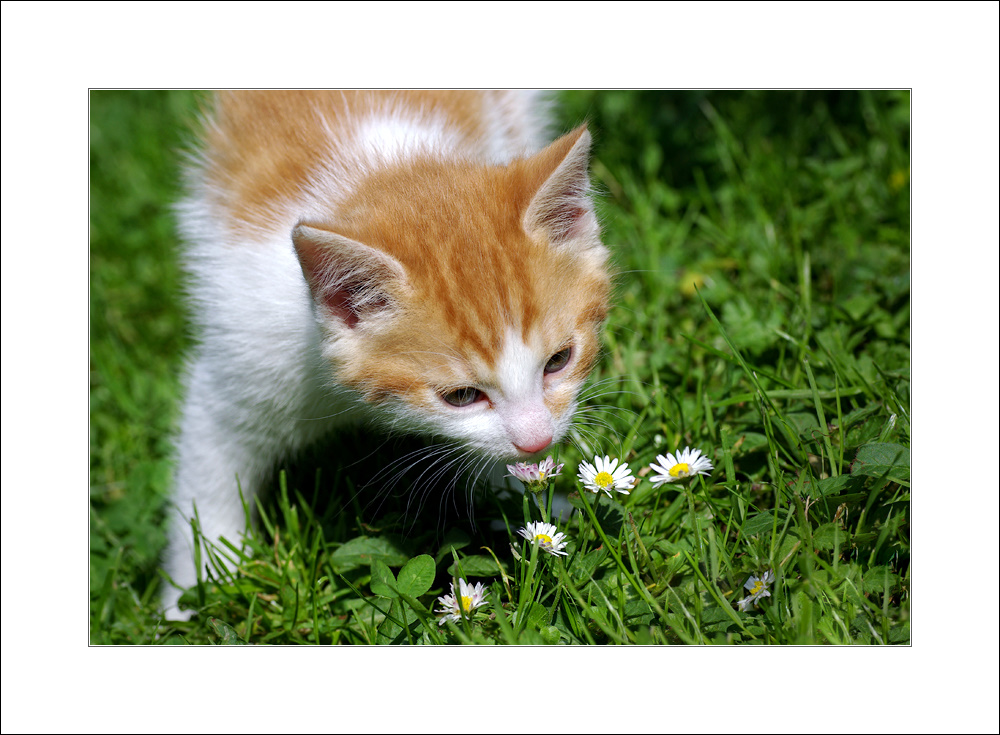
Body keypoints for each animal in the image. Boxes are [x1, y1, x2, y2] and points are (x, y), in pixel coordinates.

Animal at [166, 92, 608, 620]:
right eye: (462, 396)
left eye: (559, 360)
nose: (537, 441)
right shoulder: (248, 349)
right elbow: (208, 478)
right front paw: (193, 601)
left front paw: (531, 504)